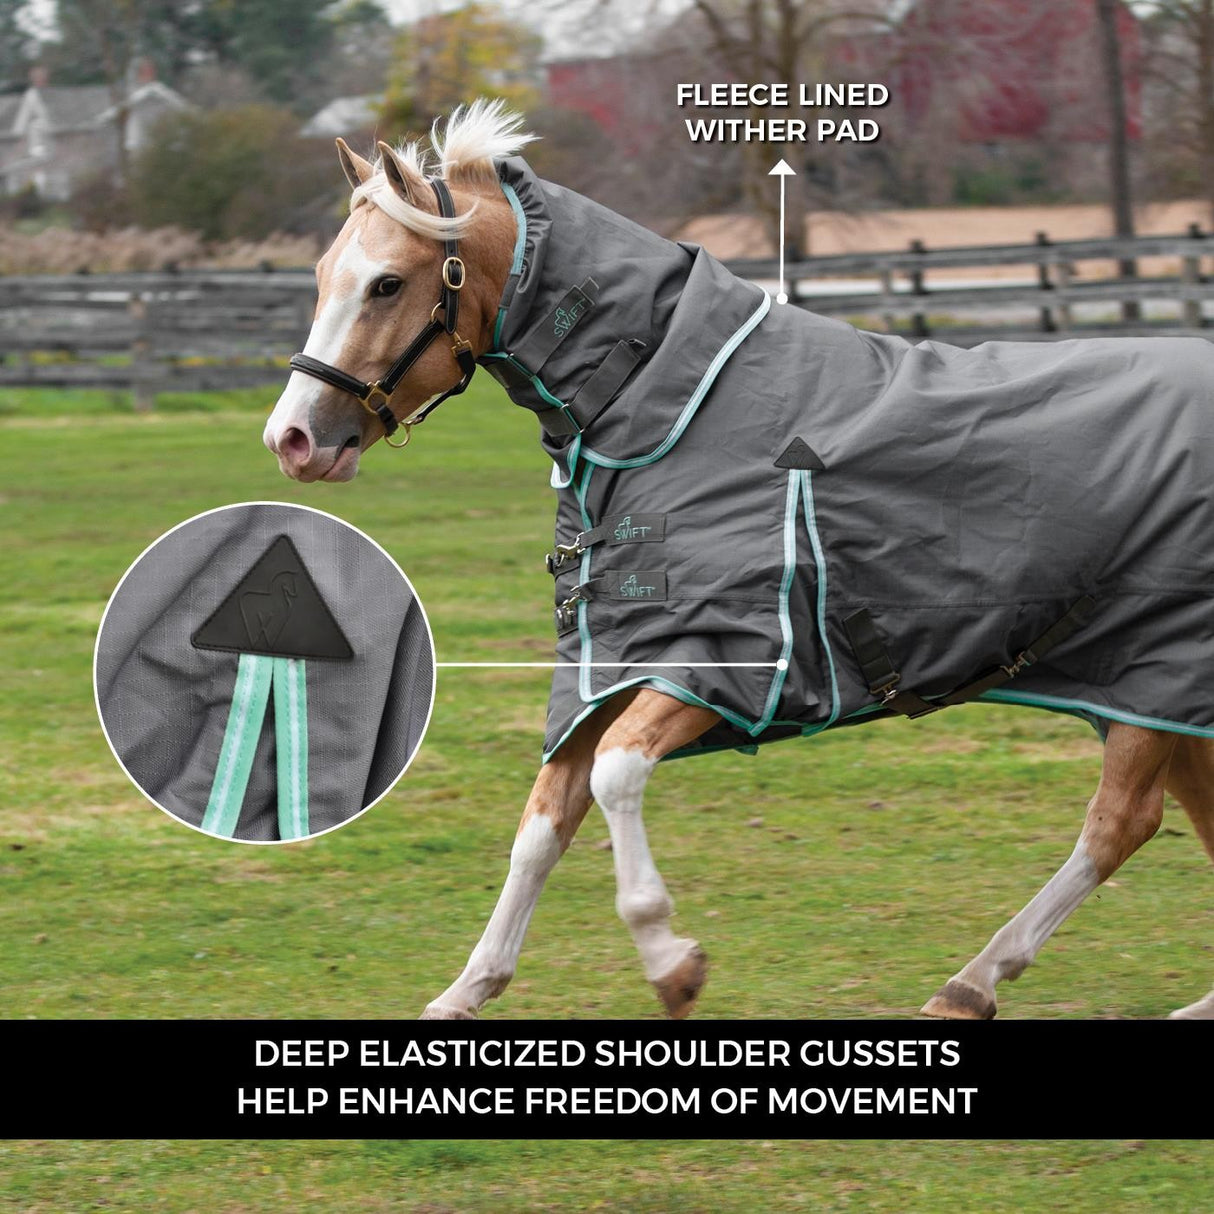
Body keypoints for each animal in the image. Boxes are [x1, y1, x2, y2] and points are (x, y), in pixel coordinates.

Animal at [264, 101, 1214, 1021]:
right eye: (322, 275)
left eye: (387, 283)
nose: (293, 439)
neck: (662, 414)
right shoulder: (604, 672)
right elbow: (542, 825)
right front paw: (465, 992)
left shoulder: (720, 661)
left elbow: (614, 777)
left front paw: (671, 964)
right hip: (1155, 696)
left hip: (1152, 674)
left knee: (1119, 823)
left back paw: (972, 983)